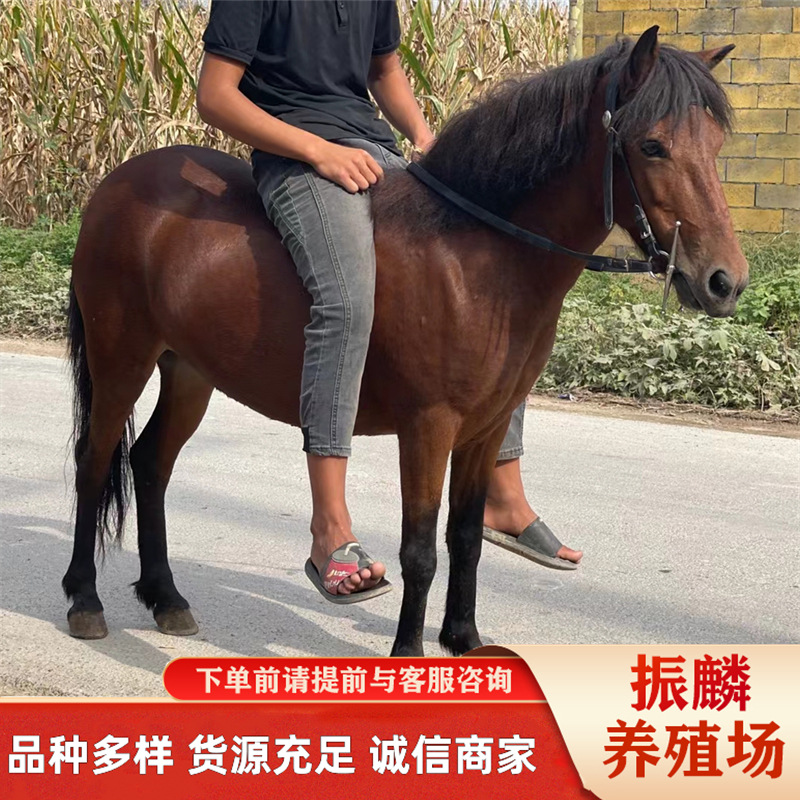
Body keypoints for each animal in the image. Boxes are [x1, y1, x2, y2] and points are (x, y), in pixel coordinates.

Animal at [62, 27, 748, 656]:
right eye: (652, 145)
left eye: (715, 144)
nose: (725, 281)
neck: (474, 254)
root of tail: (118, 183)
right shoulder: (429, 425)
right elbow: (420, 549)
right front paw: (410, 655)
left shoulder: (485, 427)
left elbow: (465, 538)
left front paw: (465, 641)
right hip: (121, 359)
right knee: (95, 462)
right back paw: (84, 600)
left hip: (189, 372)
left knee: (150, 464)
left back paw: (166, 598)